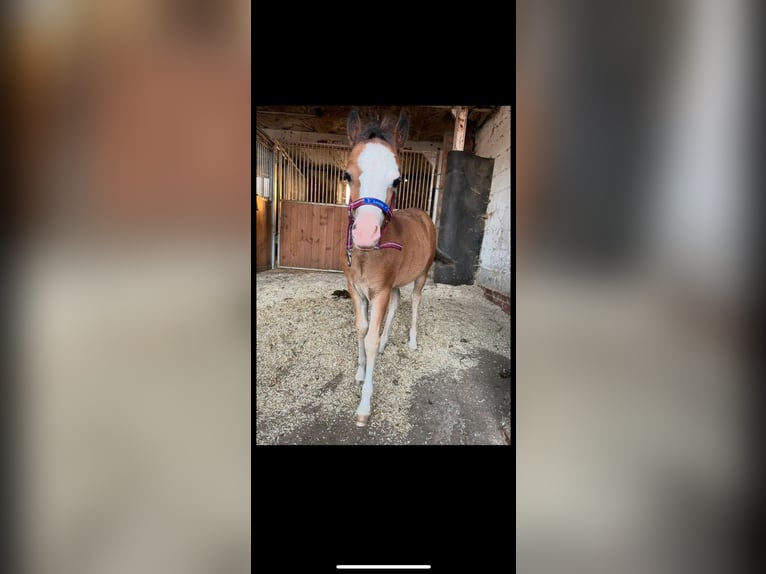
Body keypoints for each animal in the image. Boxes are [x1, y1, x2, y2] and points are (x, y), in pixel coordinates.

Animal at [341, 108, 453, 427]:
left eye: (397, 180)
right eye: (347, 174)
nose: (366, 235)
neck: (366, 257)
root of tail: (423, 216)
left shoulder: (379, 290)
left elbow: (369, 338)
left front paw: (364, 407)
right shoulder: (357, 289)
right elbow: (362, 329)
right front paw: (360, 371)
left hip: (421, 276)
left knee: (413, 301)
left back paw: (412, 341)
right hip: (394, 284)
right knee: (397, 302)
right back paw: (386, 342)